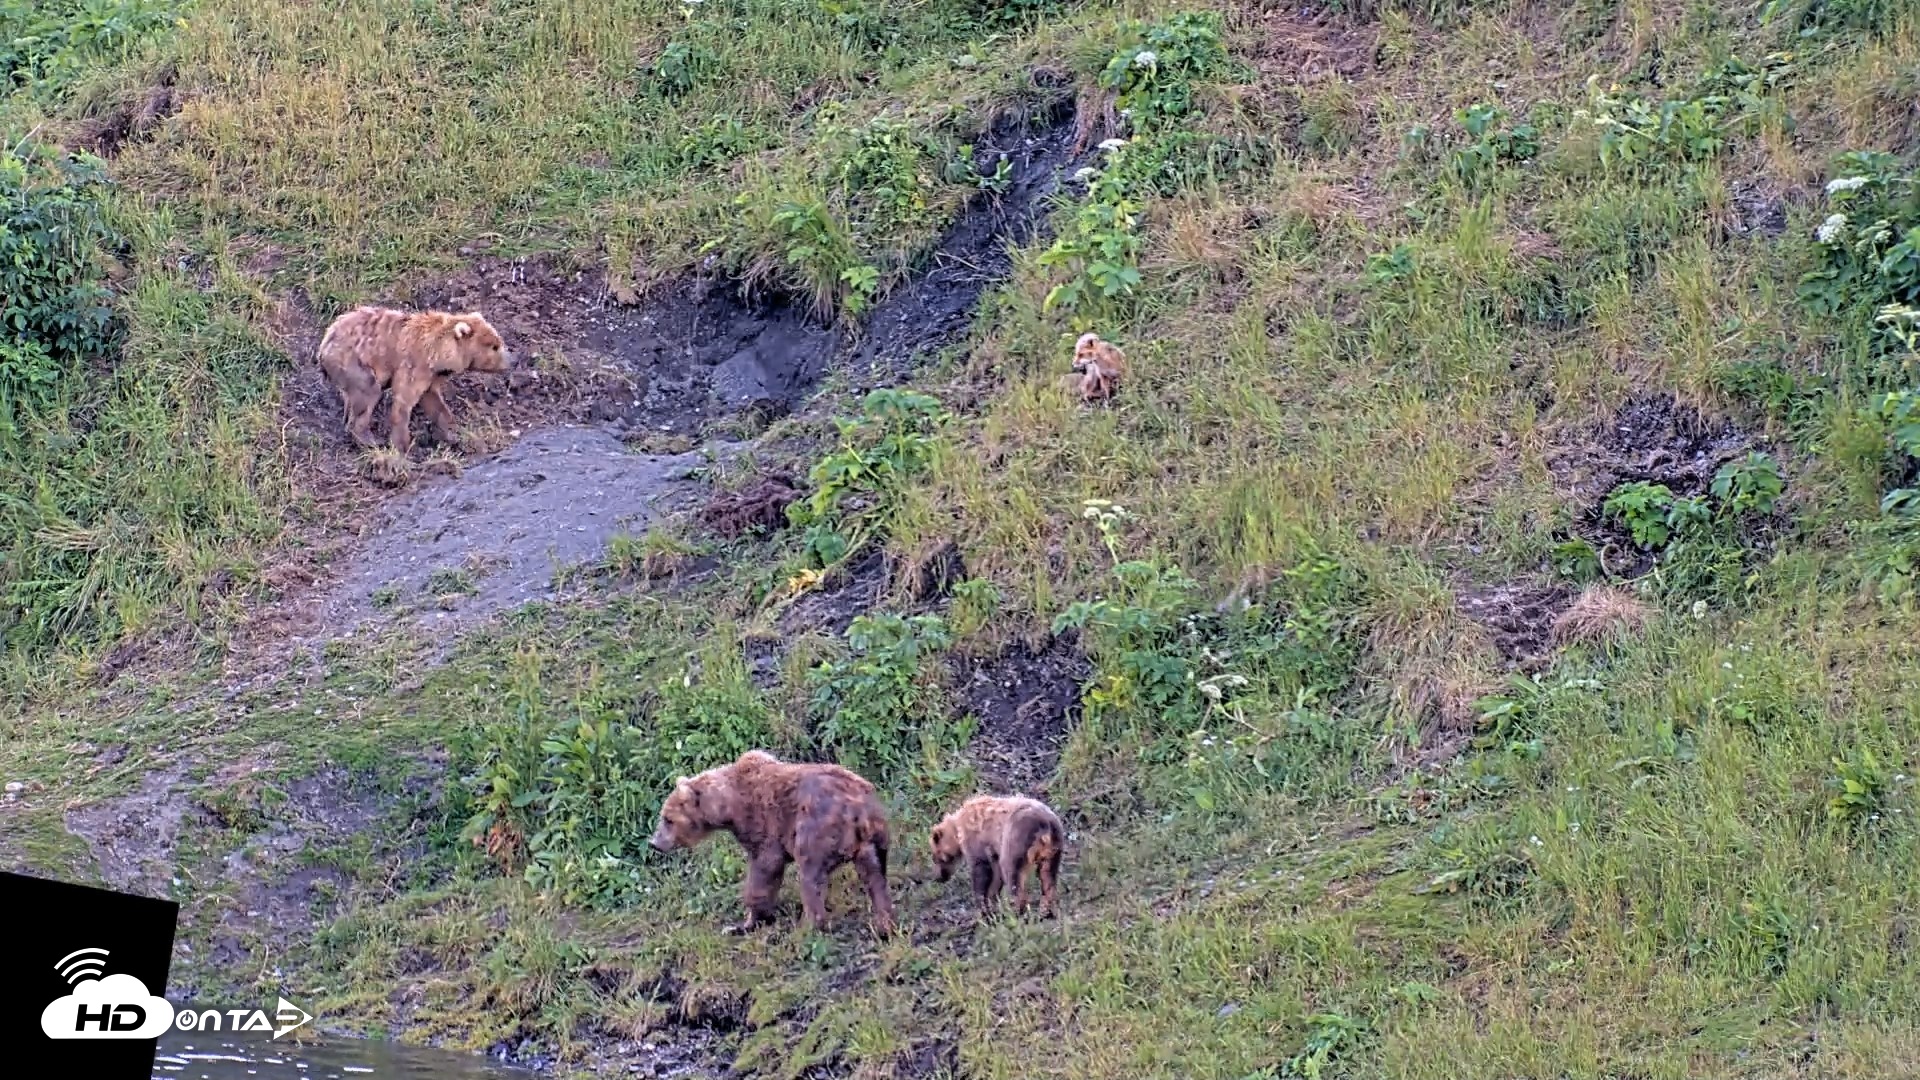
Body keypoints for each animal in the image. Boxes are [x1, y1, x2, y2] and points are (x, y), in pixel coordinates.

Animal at [315, 306, 514, 456]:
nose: (513, 359)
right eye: (494, 346)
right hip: (353, 362)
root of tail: (324, 343)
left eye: (499, 341)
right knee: (368, 392)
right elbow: (404, 400)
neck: (438, 352)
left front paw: (454, 433)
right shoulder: (414, 364)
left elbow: (433, 401)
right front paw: (403, 445)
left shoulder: (432, 375)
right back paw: (367, 439)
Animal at [649, 750, 896, 936]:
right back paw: (885, 923)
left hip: (815, 828)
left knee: (811, 875)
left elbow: (765, 867)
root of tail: (857, 809)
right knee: (874, 875)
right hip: (873, 839)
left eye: (668, 819)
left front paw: (747, 921)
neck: (727, 806)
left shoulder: (762, 822)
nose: (654, 843)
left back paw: (808, 926)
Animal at [929, 794, 1065, 919]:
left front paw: (982, 908)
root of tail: (1045, 827)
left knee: (1013, 874)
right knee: (1048, 876)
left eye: (935, 857)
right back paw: (1047, 911)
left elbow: (981, 870)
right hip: (1053, 848)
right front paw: (992, 903)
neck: (958, 831)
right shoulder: (993, 850)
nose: (938, 878)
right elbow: (995, 875)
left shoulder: (977, 842)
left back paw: (1017, 911)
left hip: (1016, 839)